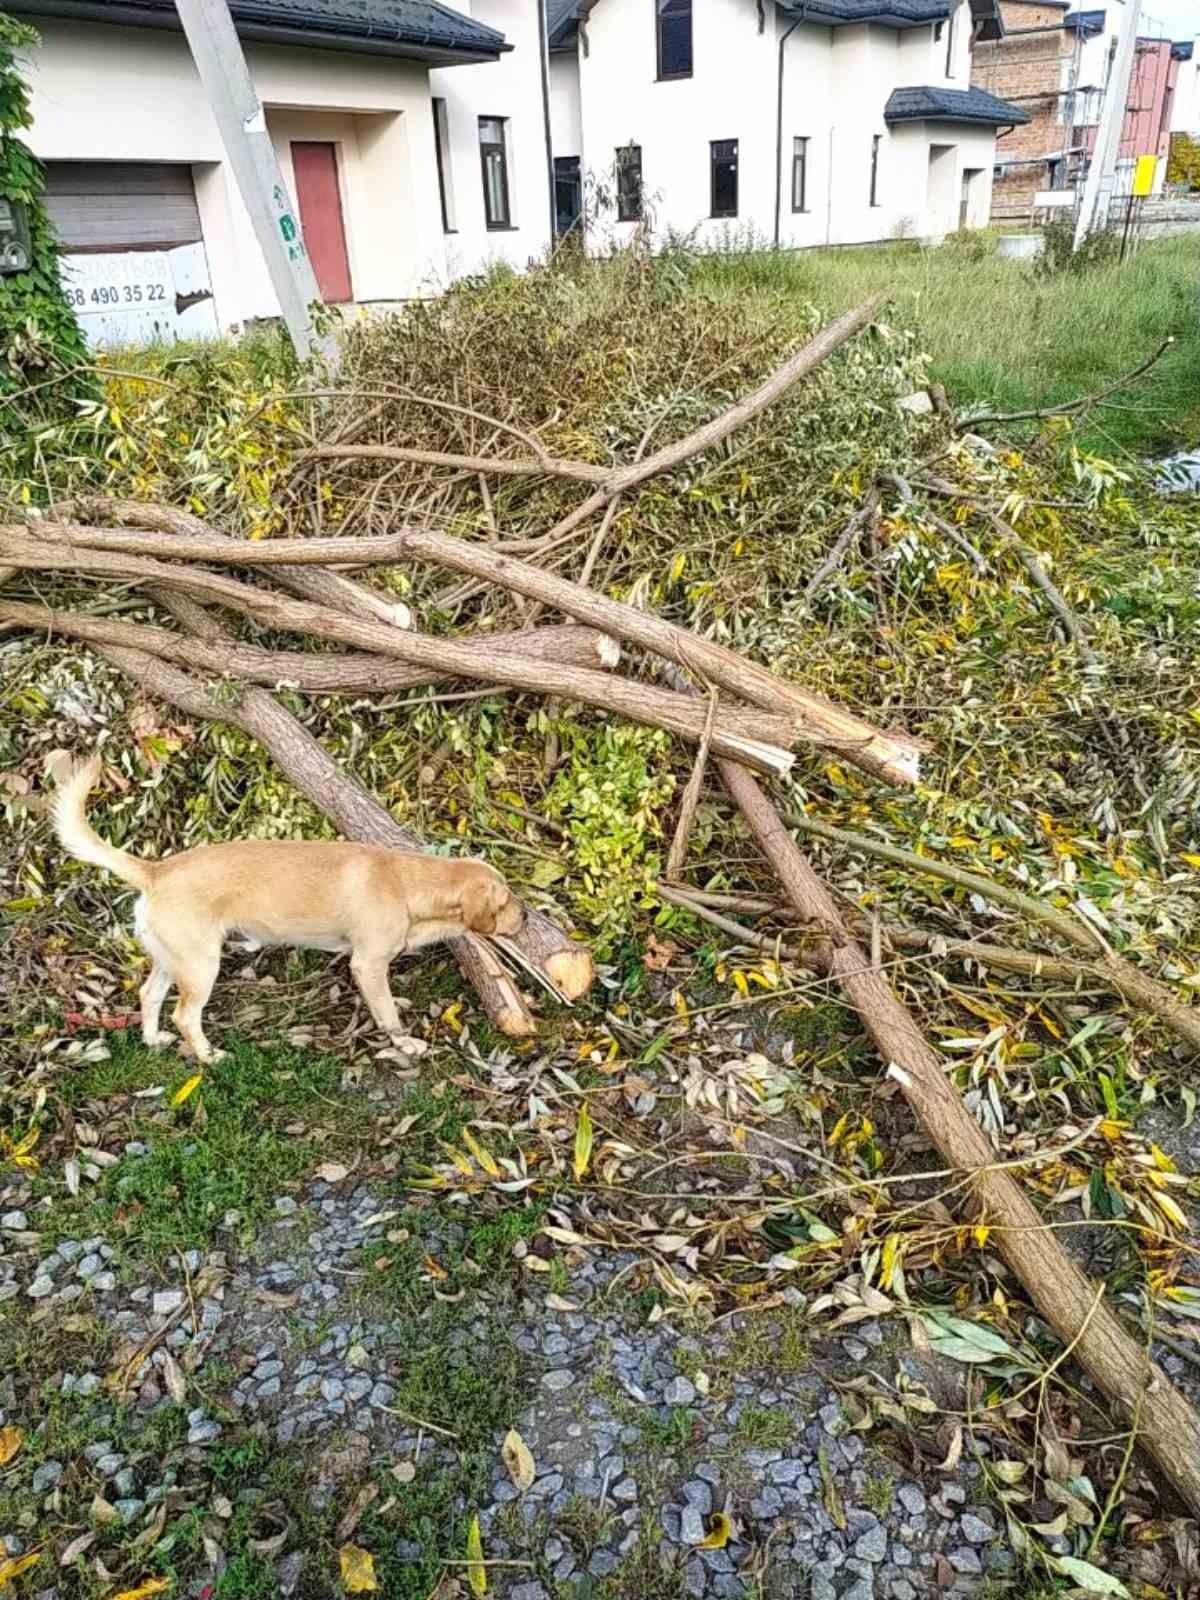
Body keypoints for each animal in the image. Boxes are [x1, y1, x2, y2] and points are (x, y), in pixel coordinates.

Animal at [51, 758, 524, 1062]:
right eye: (505, 901)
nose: (526, 917)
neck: (408, 884)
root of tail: (155, 871)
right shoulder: (368, 965)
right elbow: (388, 1014)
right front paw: (405, 1045)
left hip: (173, 961)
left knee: (149, 996)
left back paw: (153, 1041)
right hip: (202, 966)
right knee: (186, 1016)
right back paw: (208, 1056)